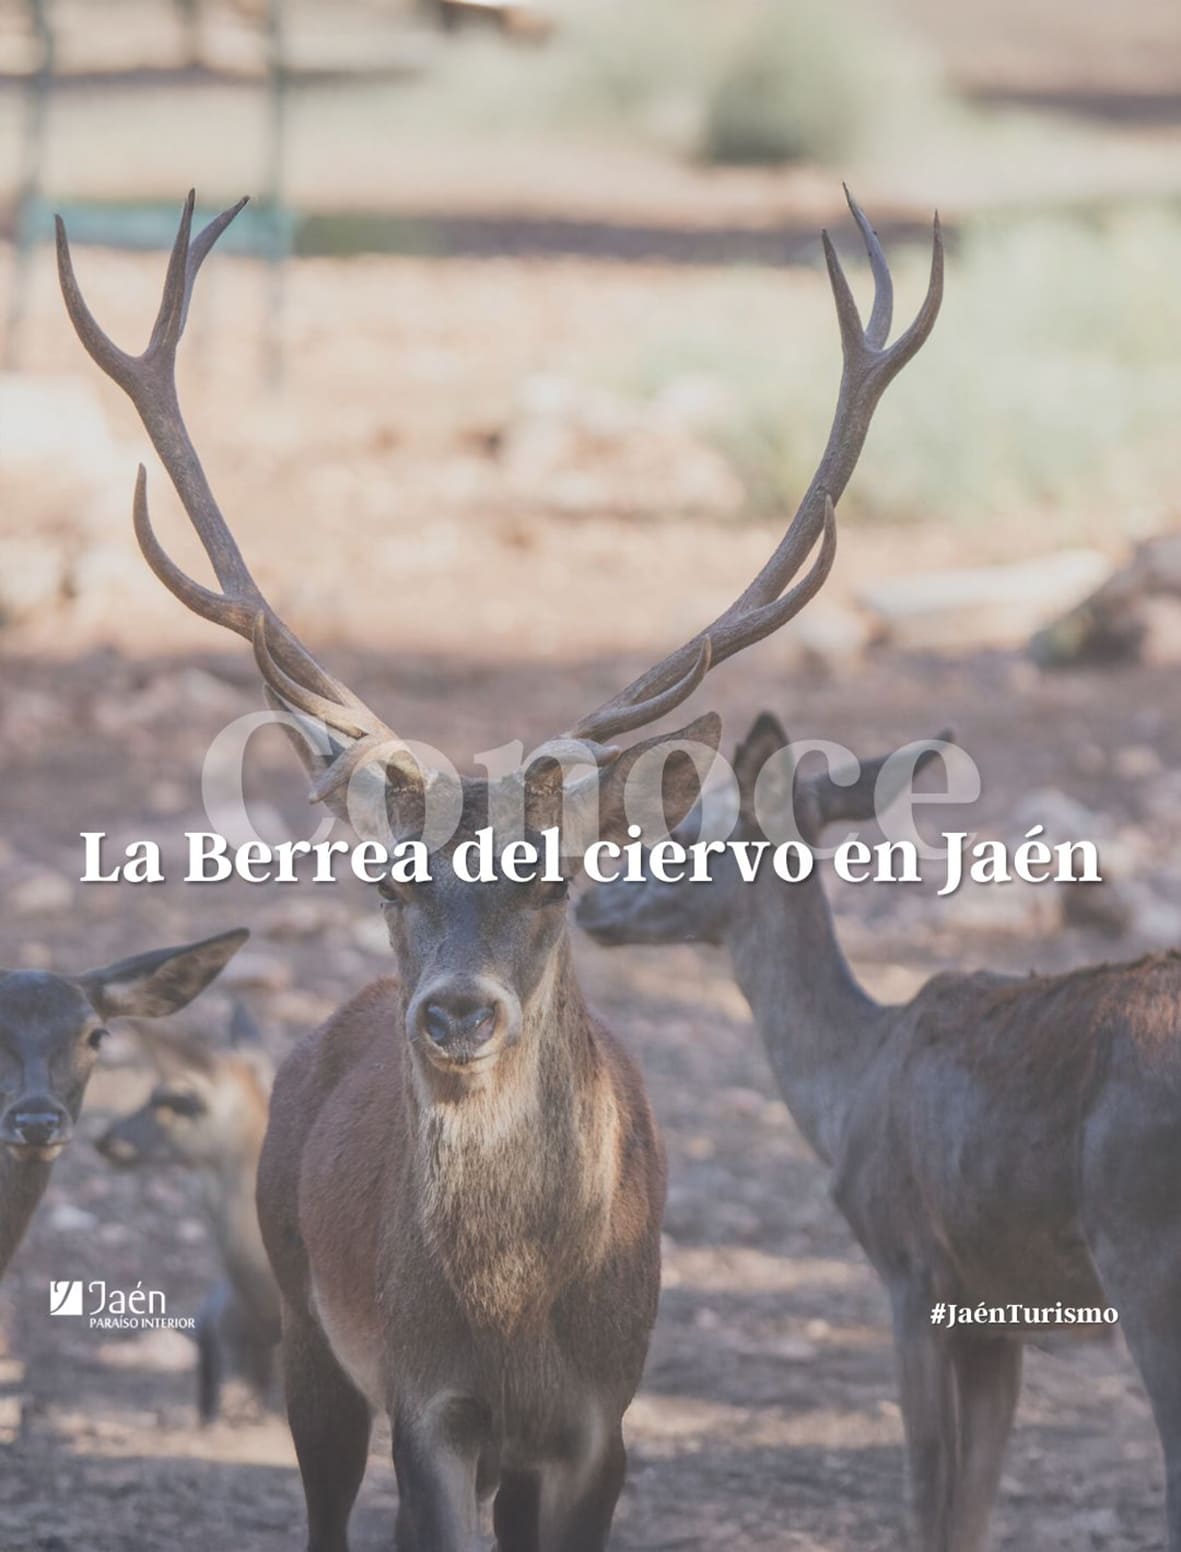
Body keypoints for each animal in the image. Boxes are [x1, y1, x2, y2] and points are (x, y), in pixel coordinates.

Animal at [577, 711, 1181, 1552]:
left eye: (687, 835)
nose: (588, 904)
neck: (848, 1084)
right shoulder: (996, 1309)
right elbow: (974, 1498)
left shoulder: (908, 1264)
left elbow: (927, 1480)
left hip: (1140, 1243)